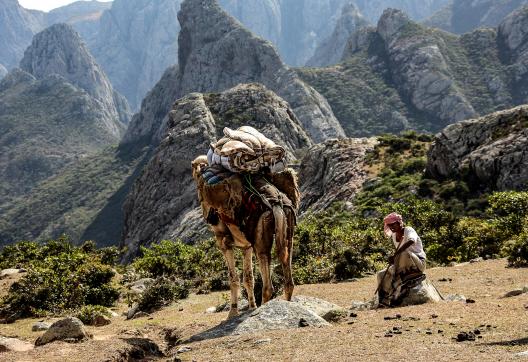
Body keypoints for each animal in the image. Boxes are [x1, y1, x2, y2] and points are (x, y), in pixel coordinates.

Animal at [190, 154, 300, 318]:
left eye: (198, 178)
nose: (209, 216)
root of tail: (276, 204)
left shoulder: (224, 243)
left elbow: (233, 278)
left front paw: (233, 312)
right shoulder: (246, 246)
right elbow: (248, 277)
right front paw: (251, 306)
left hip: (261, 242)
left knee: (268, 285)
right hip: (288, 233)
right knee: (288, 278)